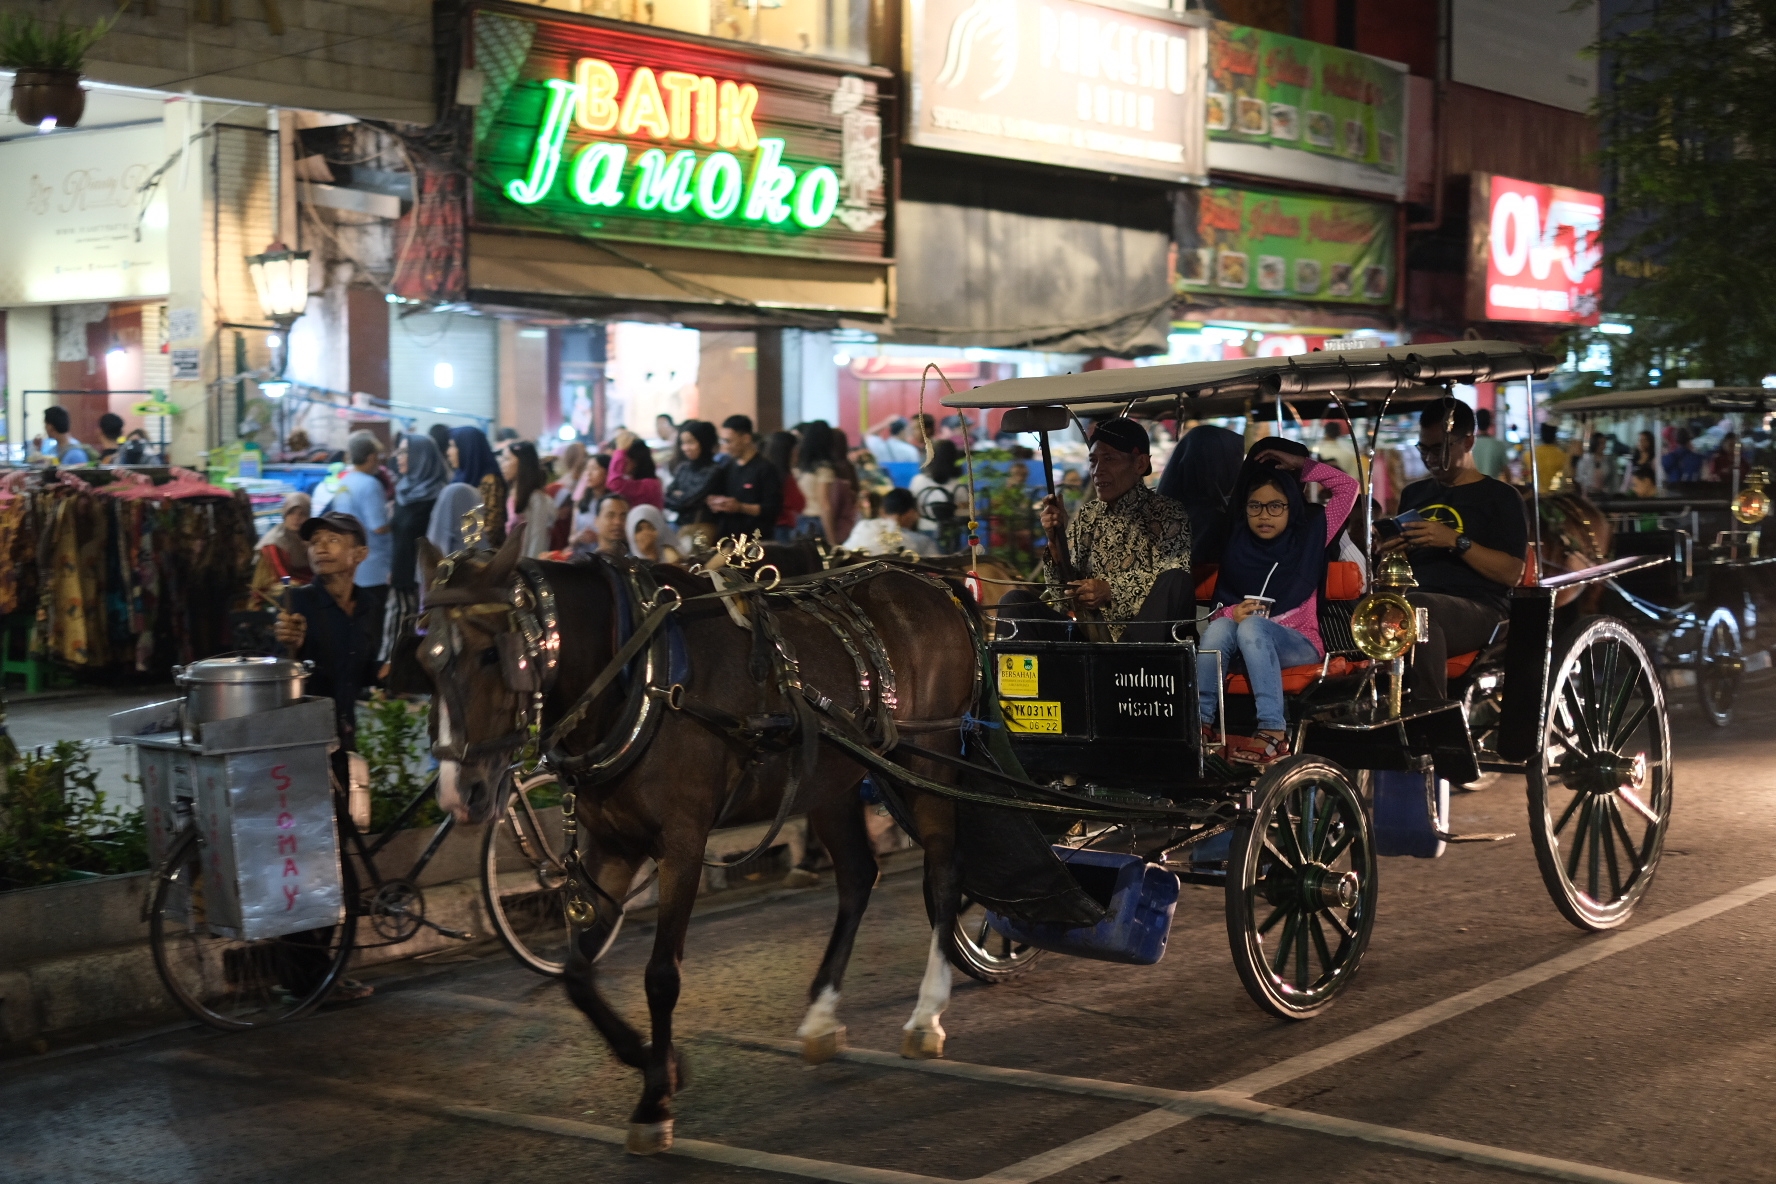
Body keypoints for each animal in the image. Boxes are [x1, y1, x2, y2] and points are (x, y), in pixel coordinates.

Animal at [417, 532, 987, 1150]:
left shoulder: (683, 842)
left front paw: (653, 1102)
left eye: (490, 654)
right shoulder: (613, 843)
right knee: (859, 875)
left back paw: (927, 1014)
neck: (639, 677)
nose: (458, 793)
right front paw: (655, 1062)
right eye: (424, 661)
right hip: (831, 778)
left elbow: (661, 976)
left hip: (929, 756)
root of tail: (929, 579)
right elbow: (576, 974)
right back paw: (821, 1017)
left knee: (944, 866)